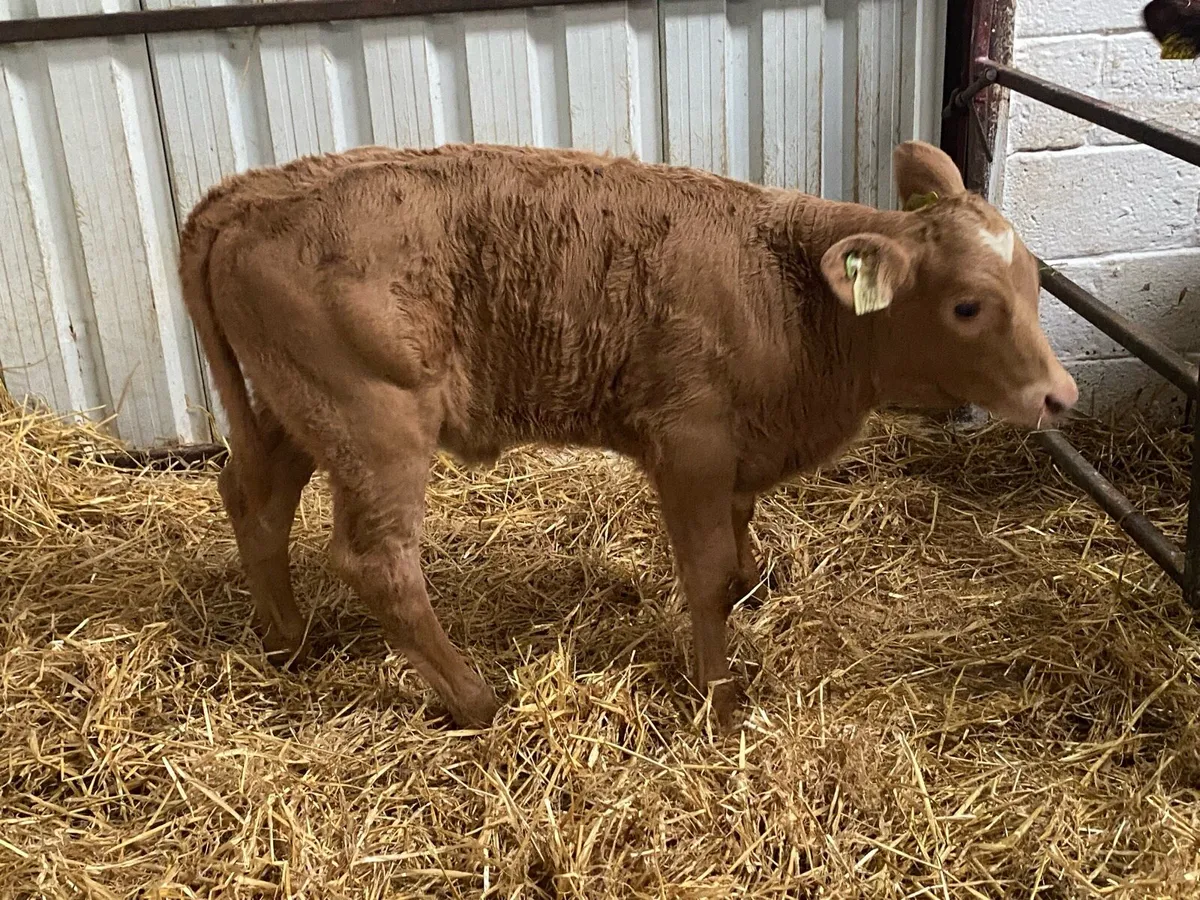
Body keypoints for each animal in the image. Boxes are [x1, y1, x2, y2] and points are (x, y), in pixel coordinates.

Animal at [178, 140, 1077, 729]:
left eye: (1036, 283)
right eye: (967, 305)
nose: (1059, 396)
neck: (792, 297)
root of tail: (251, 192)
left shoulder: (736, 452)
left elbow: (738, 541)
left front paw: (755, 587)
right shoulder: (691, 445)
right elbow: (706, 576)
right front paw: (719, 698)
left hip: (298, 409)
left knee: (255, 499)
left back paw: (291, 642)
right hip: (375, 423)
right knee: (378, 562)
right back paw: (476, 700)